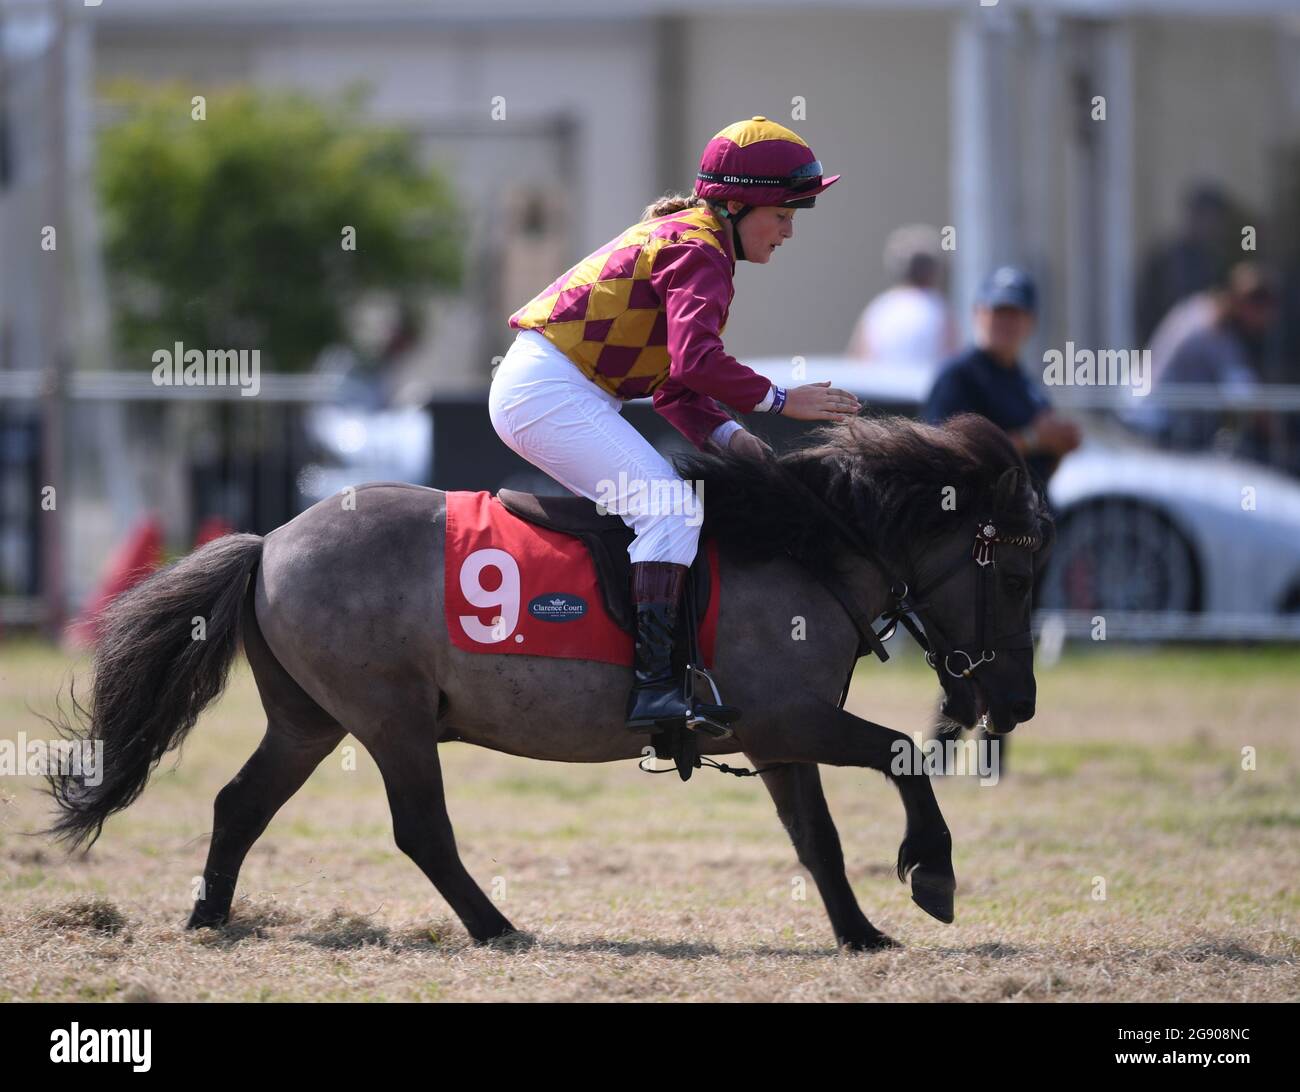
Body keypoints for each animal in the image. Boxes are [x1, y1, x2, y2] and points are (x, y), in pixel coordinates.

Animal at [45, 413, 1050, 951]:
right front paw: (932, 871)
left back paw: (208, 916)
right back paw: (495, 926)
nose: (1017, 704)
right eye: (1016, 575)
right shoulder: (791, 721)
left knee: (239, 805)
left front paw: (859, 932)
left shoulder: (778, 742)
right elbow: (903, 752)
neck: (802, 547)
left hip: (309, 723)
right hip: (390, 722)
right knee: (421, 831)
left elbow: (820, 842)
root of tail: (270, 541)